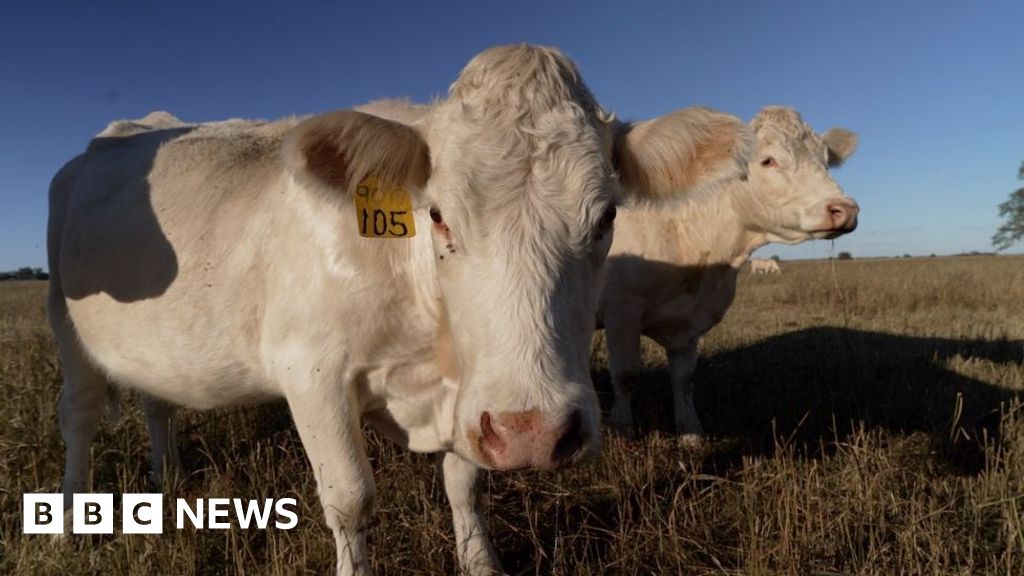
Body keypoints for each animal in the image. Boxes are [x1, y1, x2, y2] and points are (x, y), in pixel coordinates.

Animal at [48, 44, 753, 573]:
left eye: (607, 217)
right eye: (437, 215)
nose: (533, 433)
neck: (428, 351)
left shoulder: (466, 399)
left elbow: (465, 483)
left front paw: (480, 564)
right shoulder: (311, 373)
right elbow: (351, 498)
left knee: (156, 401)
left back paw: (165, 478)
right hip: (68, 326)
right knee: (78, 418)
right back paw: (73, 522)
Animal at [598, 105, 860, 438]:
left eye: (825, 161)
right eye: (768, 160)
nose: (845, 210)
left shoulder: (687, 324)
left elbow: (683, 379)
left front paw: (690, 431)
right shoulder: (621, 310)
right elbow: (625, 375)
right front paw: (622, 430)